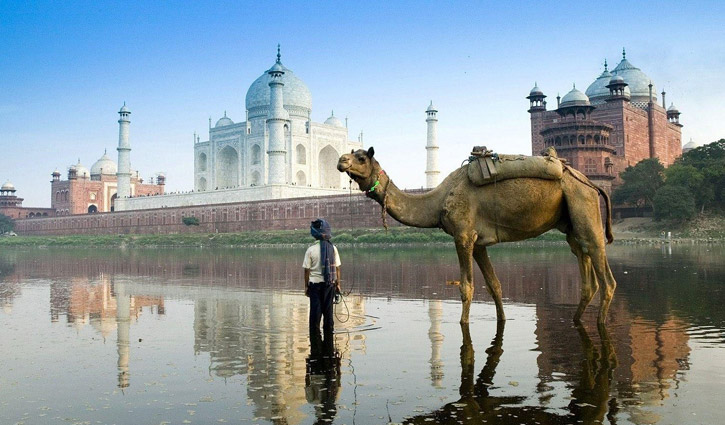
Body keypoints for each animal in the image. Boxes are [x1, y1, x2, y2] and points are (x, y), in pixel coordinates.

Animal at [338, 147, 616, 322]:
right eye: (351, 154)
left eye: (361, 157)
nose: (341, 160)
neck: (438, 200)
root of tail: (591, 183)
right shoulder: (479, 242)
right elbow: (494, 285)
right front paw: (502, 319)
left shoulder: (462, 235)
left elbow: (467, 287)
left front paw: (463, 324)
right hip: (570, 223)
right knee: (585, 269)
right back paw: (576, 320)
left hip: (583, 203)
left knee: (605, 274)